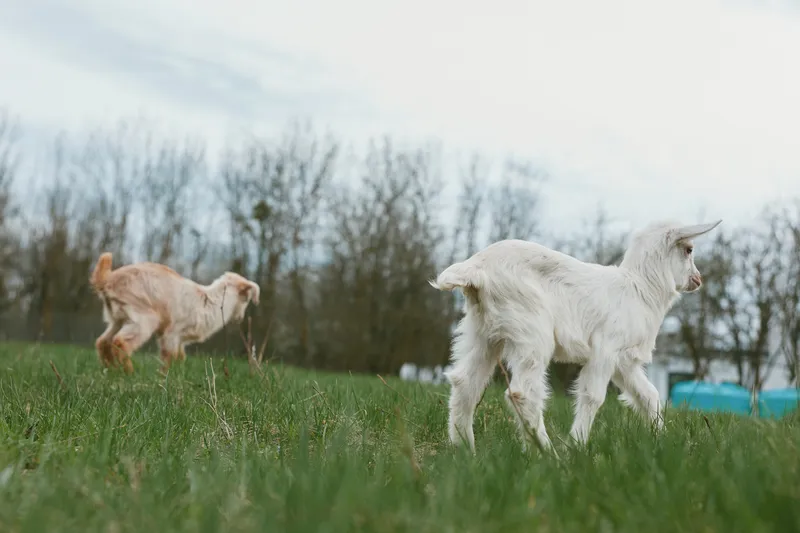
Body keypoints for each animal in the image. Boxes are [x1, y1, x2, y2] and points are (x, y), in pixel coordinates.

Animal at [90, 252, 260, 374]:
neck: (208, 302)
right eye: (246, 299)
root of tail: (108, 280)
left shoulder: (180, 339)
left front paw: (179, 373)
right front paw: (164, 375)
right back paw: (129, 372)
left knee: (103, 341)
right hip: (144, 318)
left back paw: (111, 369)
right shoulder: (171, 333)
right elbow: (169, 356)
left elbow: (180, 357)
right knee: (120, 342)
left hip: (117, 319)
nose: (240, 318)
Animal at [429, 219, 722, 453]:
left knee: (465, 383)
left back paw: (465, 450)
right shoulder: (606, 348)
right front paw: (577, 446)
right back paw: (548, 455)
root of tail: (475, 268)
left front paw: (662, 440)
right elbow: (593, 396)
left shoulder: (624, 362)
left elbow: (648, 394)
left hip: (482, 332)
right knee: (523, 393)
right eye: (689, 249)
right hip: (530, 329)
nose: (698, 279)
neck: (640, 289)